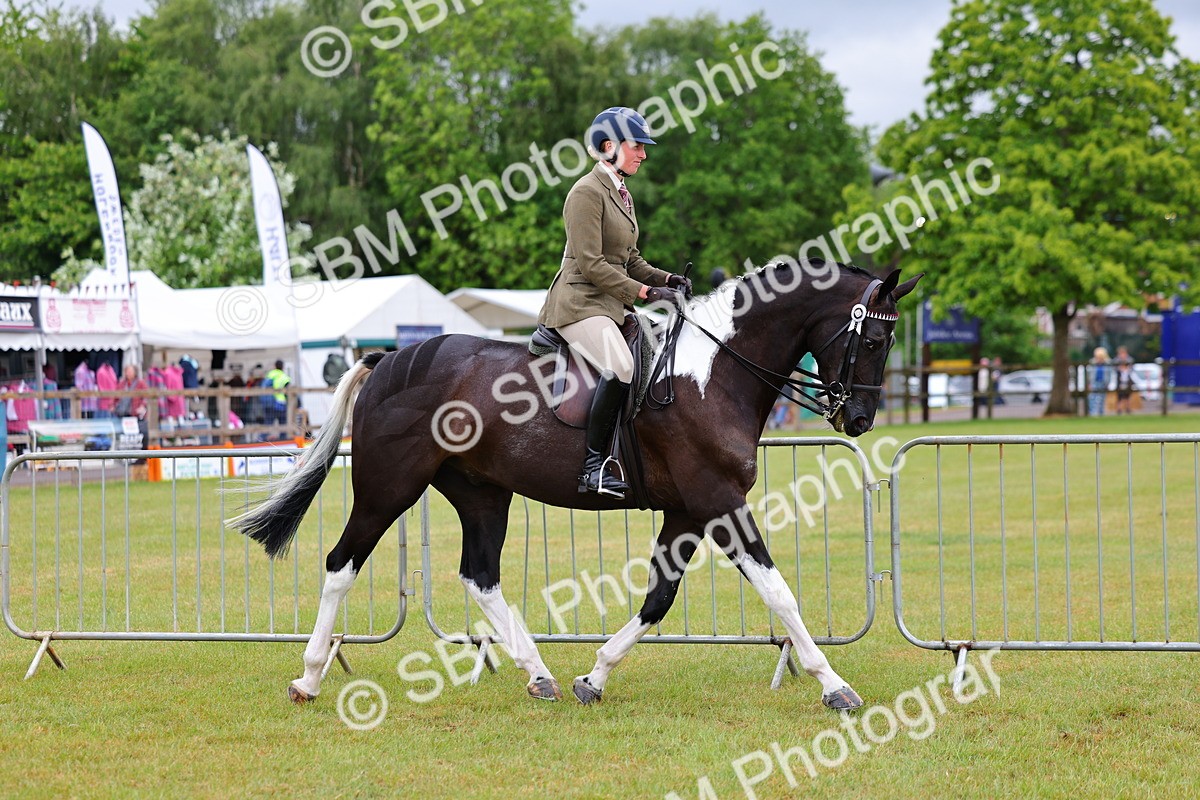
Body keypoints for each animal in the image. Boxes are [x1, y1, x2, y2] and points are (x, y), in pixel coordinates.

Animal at [229, 261, 922, 709]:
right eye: (875, 336)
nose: (859, 420)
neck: (714, 372)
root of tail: (390, 359)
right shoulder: (720, 504)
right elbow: (779, 593)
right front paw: (834, 685)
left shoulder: (688, 512)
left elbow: (659, 599)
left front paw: (597, 675)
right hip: (388, 487)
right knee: (341, 563)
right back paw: (309, 678)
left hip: (482, 493)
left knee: (481, 577)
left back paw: (540, 675)